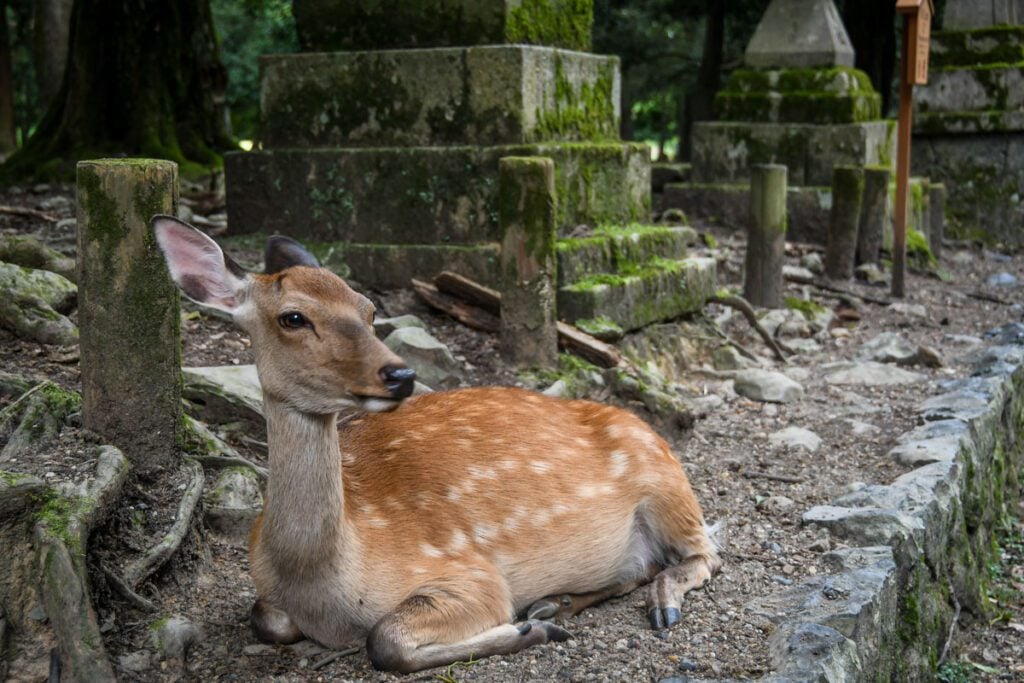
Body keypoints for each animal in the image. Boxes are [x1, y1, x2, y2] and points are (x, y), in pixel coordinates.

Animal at [155, 216, 724, 675]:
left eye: (368, 309)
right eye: (292, 317)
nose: (400, 375)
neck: (324, 590)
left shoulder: (471, 573)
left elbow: (385, 639)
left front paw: (524, 629)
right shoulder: (269, 595)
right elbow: (265, 618)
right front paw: (536, 622)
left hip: (668, 485)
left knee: (705, 554)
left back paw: (649, 607)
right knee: (644, 565)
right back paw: (556, 604)